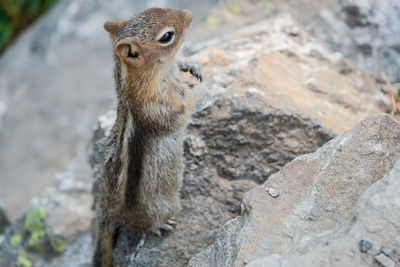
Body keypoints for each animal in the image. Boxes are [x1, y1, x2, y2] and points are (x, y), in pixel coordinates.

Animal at [92, 7, 202, 267]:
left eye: (156, 9)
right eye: (167, 36)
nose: (189, 14)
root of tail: (109, 210)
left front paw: (192, 65)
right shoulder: (156, 108)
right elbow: (182, 109)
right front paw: (189, 86)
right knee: (146, 226)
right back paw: (162, 225)